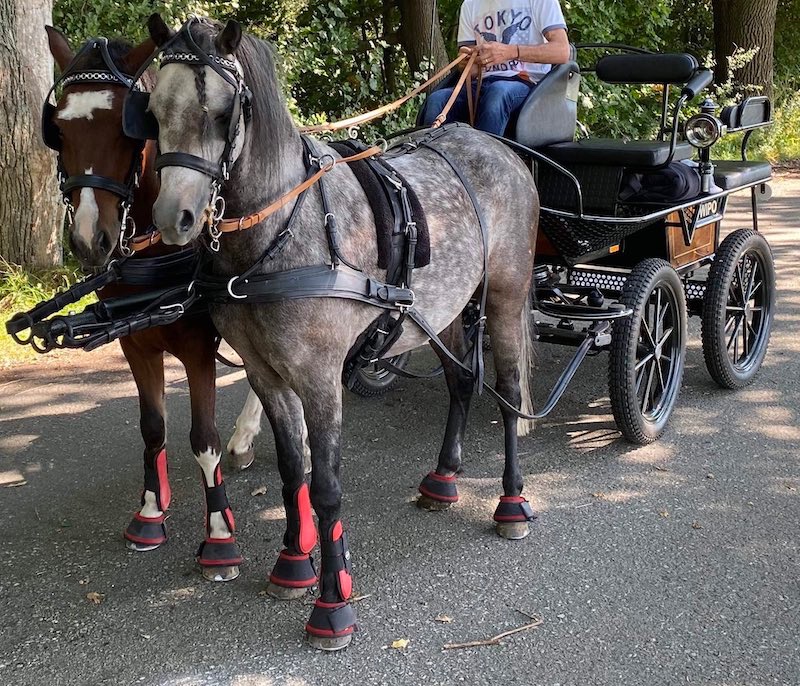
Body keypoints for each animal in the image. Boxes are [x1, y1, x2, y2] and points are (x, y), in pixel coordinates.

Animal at [42, 26, 288, 582]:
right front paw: (151, 511)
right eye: (59, 131)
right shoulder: (136, 345)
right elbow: (152, 430)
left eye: (127, 129)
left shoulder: (198, 350)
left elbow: (202, 438)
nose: (90, 240)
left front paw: (219, 536)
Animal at [143, 15, 538, 650]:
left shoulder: (320, 377)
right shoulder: (266, 373)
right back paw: (444, 478)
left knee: (506, 395)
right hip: (448, 311)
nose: (171, 219)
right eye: (153, 112)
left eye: (224, 114)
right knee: (461, 384)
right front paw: (292, 564)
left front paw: (332, 602)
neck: (281, 230)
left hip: (504, 295)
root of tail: (497, 147)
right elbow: (292, 472)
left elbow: (326, 486)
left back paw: (512, 502)